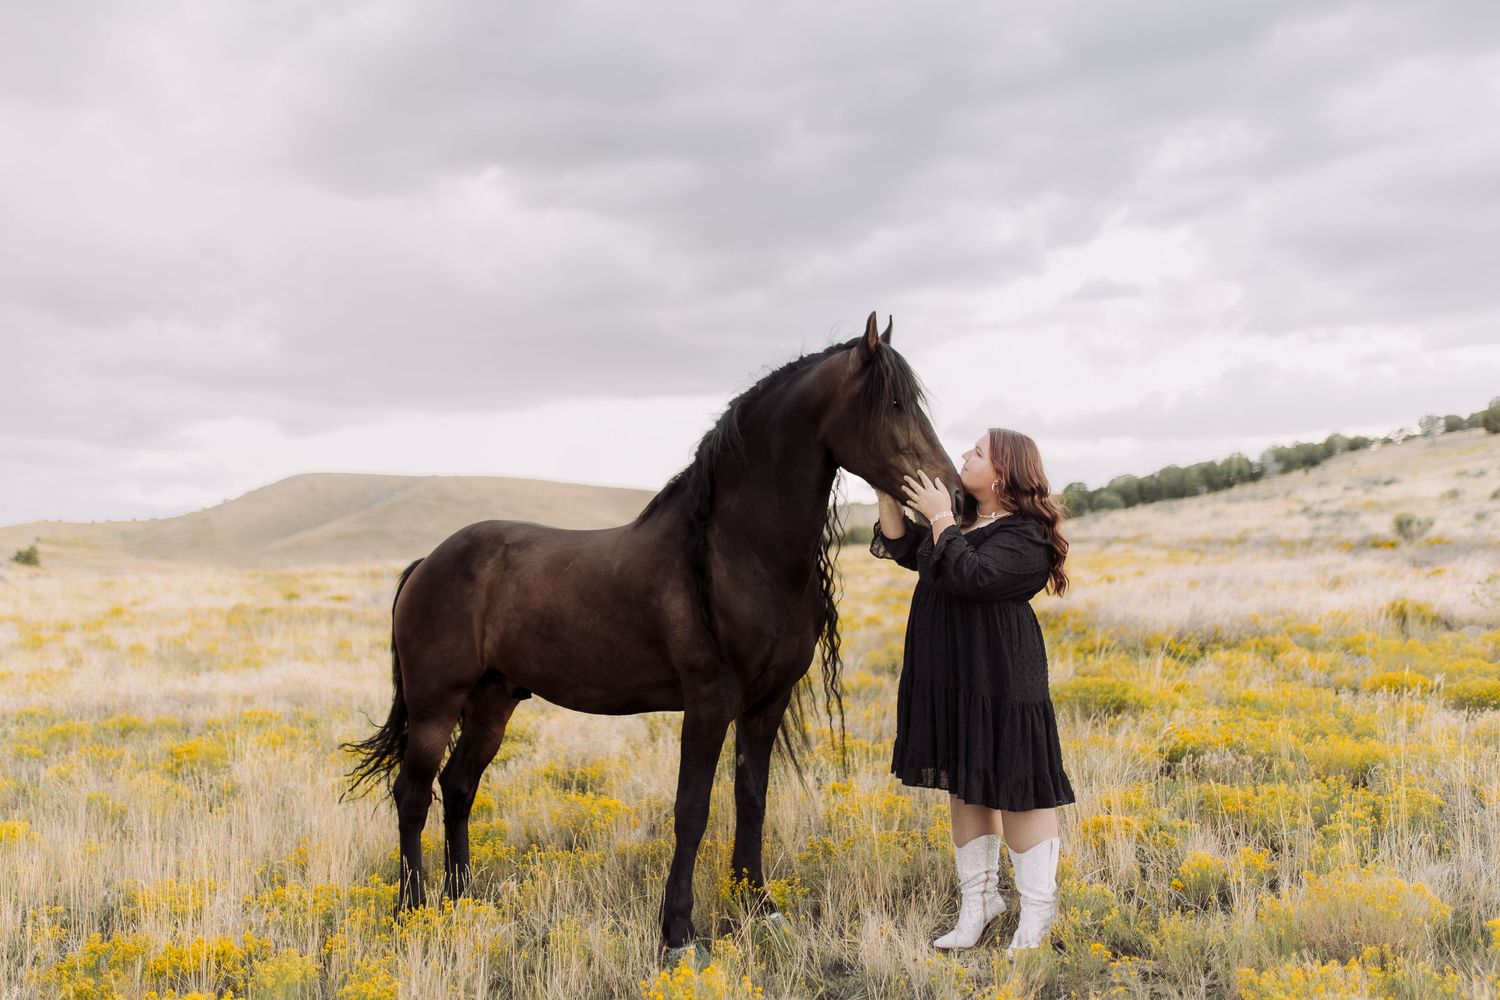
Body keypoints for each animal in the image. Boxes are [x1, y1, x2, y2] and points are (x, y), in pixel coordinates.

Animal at [342, 312, 960, 956]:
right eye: (894, 404)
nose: (959, 498)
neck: (736, 552)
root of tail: (427, 562)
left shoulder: (766, 703)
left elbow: (751, 799)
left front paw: (759, 907)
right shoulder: (710, 703)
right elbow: (692, 809)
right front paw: (679, 932)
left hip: (492, 702)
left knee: (459, 787)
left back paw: (463, 903)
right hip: (435, 706)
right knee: (413, 796)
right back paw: (413, 912)